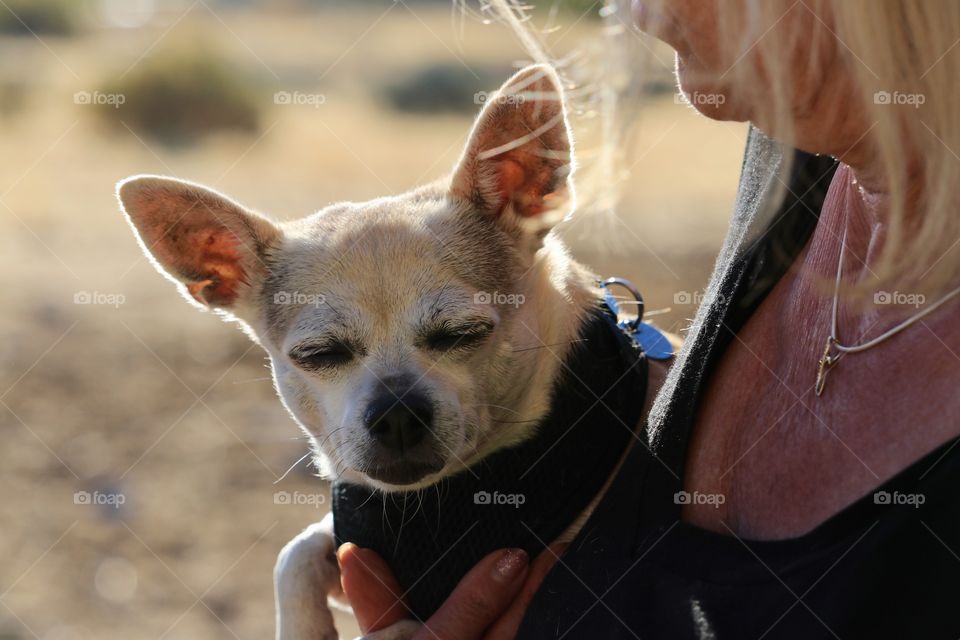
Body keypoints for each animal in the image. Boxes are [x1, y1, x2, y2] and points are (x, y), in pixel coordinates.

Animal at [116, 66, 672, 640]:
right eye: (318, 354)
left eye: (461, 333)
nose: (397, 414)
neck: (430, 509)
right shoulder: (353, 541)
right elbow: (296, 552)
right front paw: (303, 627)